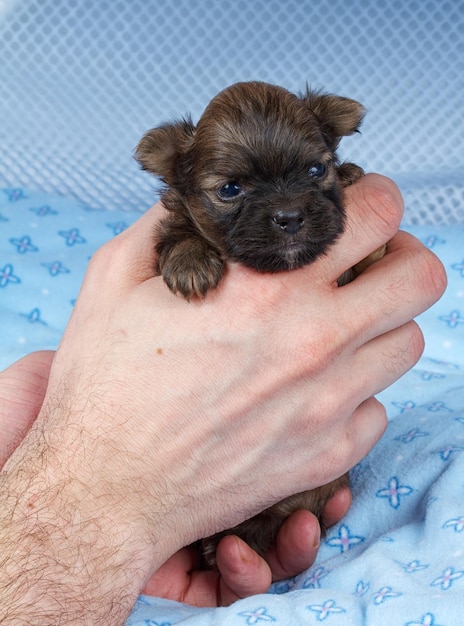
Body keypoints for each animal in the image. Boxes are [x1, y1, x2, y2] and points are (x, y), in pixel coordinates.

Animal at [135, 80, 384, 564]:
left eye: (315, 169)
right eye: (230, 189)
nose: (290, 217)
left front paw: (351, 176)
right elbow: (177, 233)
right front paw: (192, 262)